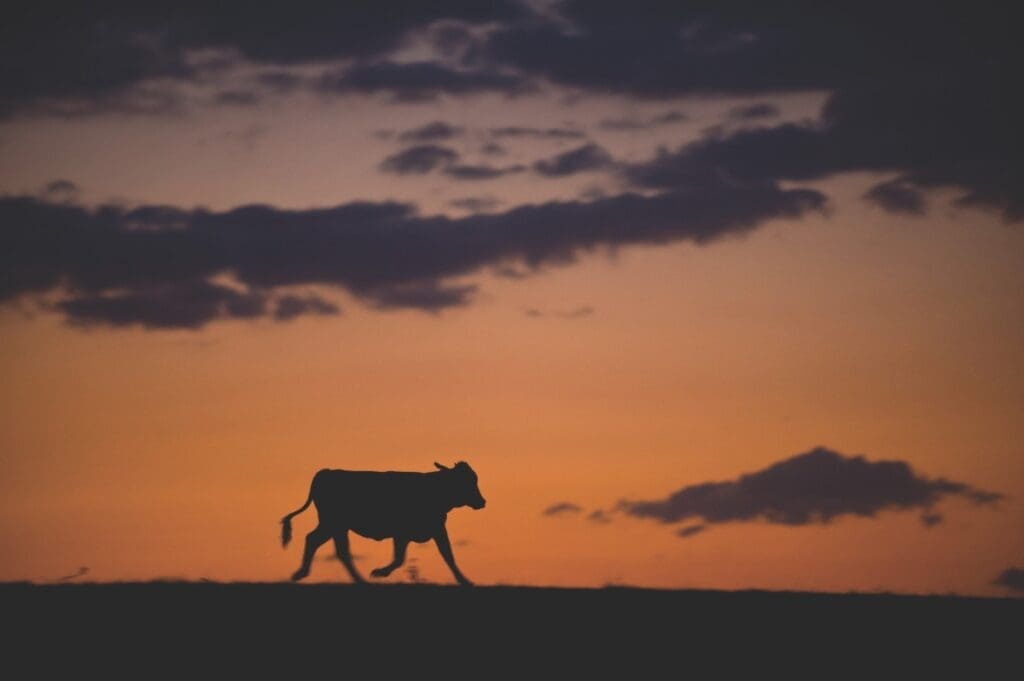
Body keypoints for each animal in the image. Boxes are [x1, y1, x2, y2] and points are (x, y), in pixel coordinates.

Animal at [280, 461, 486, 586]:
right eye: (467, 482)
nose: (482, 502)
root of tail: (327, 471)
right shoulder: (406, 533)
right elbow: (402, 558)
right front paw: (380, 572)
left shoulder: (434, 530)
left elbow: (447, 555)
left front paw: (464, 580)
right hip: (333, 523)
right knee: (326, 544)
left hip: (335, 526)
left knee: (327, 545)